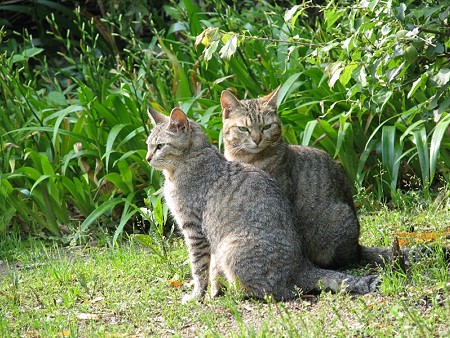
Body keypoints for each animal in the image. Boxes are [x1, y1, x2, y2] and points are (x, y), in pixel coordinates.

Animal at [146, 106, 378, 302]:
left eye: (160, 146)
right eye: (148, 146)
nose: (147, 158)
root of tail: (302, 266)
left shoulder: (194, 230)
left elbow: (199, 269)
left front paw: (198, 295)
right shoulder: (209, 240)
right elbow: (212, 271)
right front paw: (214, 291)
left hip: (231, 248)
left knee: (275, 292)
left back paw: (239, 293)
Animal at [220, 87, 396, 270]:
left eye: (266, 127)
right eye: (243, 129)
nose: (257, 139)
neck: (247, 160)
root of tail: (357, 248)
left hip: (339, 219)